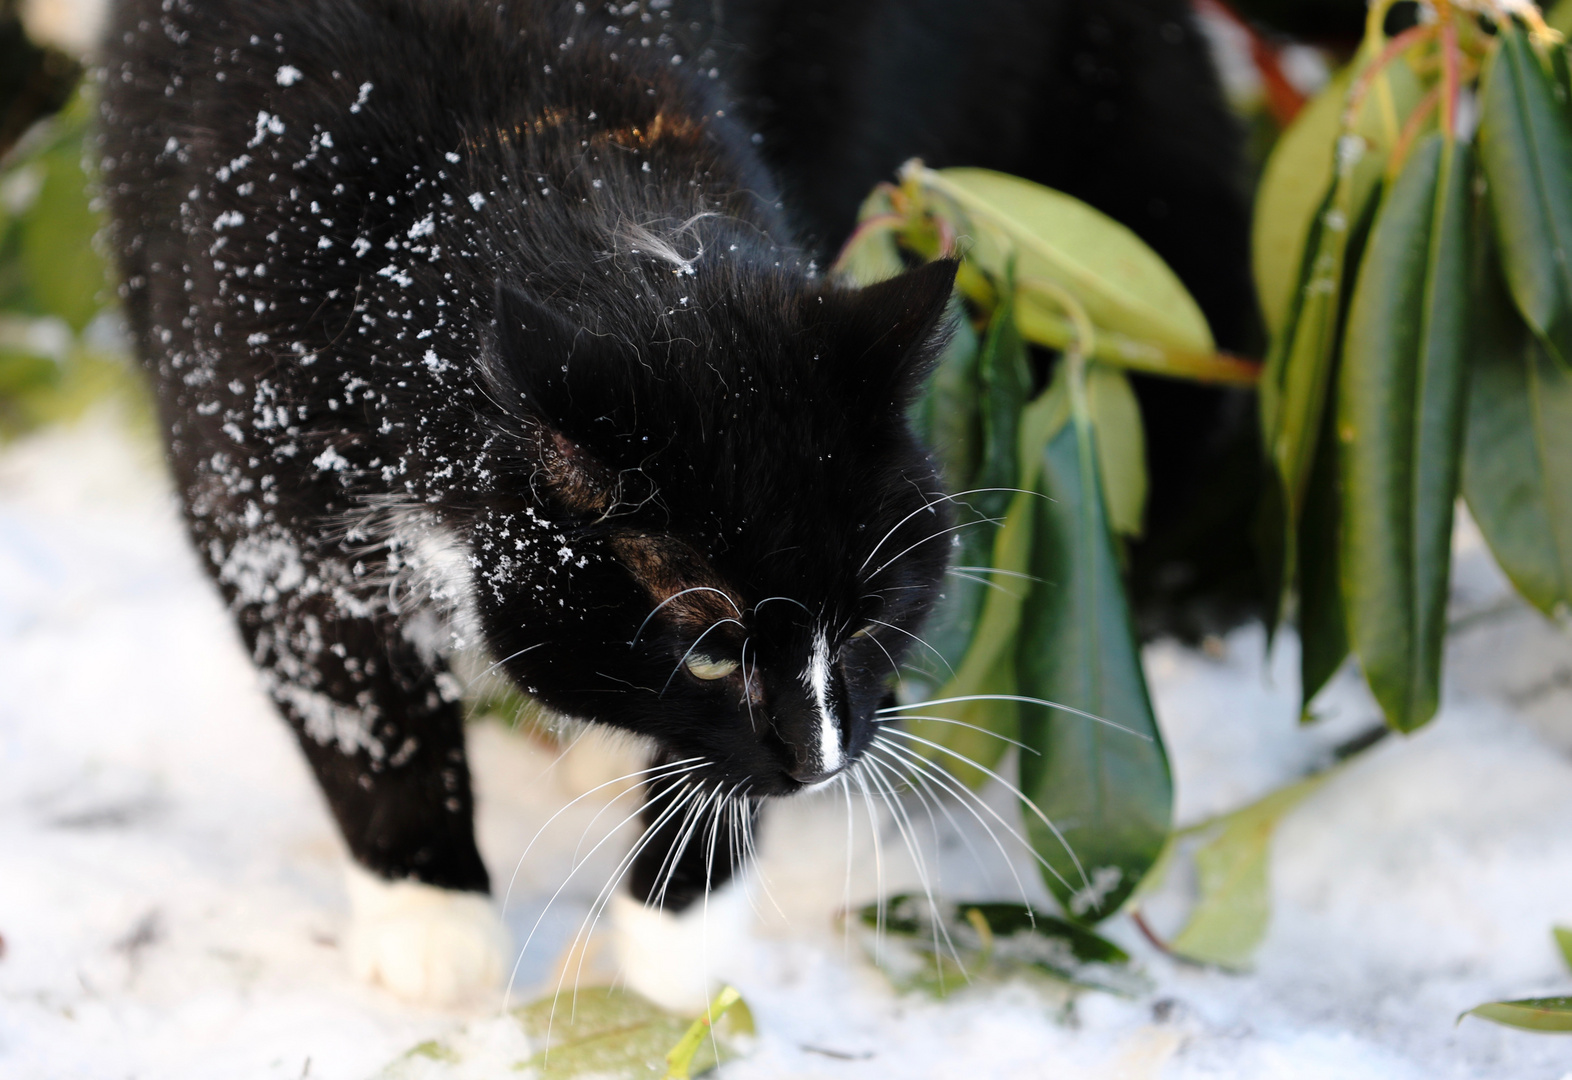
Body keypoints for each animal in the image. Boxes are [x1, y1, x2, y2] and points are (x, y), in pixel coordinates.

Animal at [98, 0, 1251, 1006]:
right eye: (707, 650)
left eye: (870, 622)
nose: (820, 764)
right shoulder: (258, 489)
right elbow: (359, 710)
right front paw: (433, 923)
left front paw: (669, 952)